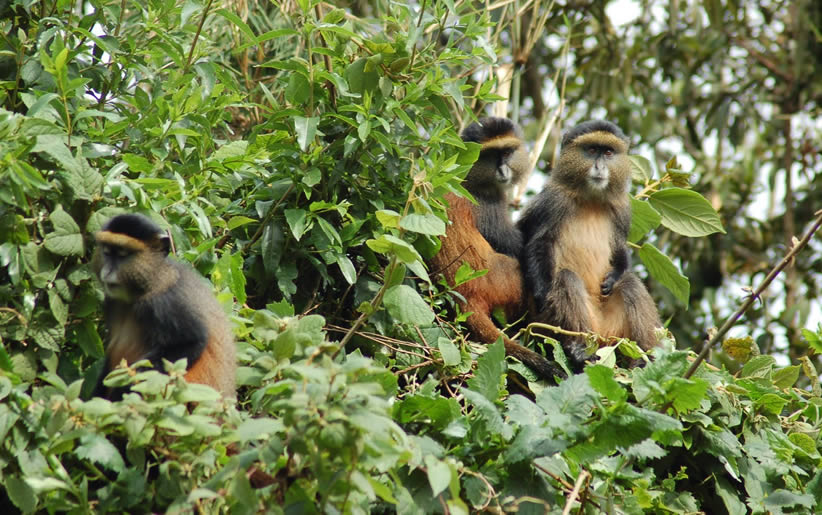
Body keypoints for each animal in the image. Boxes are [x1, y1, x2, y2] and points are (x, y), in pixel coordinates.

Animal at [92, 214, 237, 400]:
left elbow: (192, 342)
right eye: (107, 251)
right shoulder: (112, 301)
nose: (107, 271)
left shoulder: (165, 303)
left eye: (123, 254)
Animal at [432, 118, 568, 382]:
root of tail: (466, 293)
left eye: (506, 152)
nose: (503, 170)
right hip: (504, 282)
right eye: (491, 154)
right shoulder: (489, 203)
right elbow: (518, 247)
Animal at [520, 121, 664, 368]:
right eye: (592, 150)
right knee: (566, 278)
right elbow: (539, 243)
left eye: (608, 152)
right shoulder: (553, 201)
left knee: (631, 283)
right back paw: (579, 350)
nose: (600, 166)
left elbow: (619, 250)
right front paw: (541, 294)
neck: (591, 199)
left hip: (615, 332)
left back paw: (645, 358)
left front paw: (613, 276)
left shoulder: (622, 210)